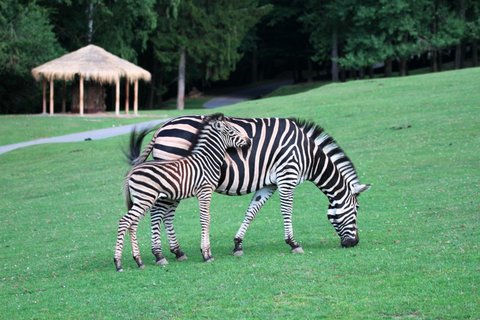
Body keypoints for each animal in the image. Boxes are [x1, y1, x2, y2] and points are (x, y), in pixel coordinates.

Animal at [114, 114, 249, 272]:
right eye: (233, 131)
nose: (249, 141)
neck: (207, 160)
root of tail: (133, 171)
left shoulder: (205, 192)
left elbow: (206, 218)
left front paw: (206, 252)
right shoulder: (205, 191)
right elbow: (205, 219)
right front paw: (206, 254)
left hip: (141, 200)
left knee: (133, 224)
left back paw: (139, 261)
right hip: (145, 198)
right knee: (125, 221)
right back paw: (118, 263)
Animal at [129, 115, 370, 260]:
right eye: (356, 210)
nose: (354, 243)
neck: (308, 155)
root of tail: (163, 127)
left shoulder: (269, 184)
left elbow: (252, 212)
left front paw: (237, 245)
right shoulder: (287, 176)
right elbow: (286, 211)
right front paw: (293, 243)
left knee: (165, 214)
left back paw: (177, 251)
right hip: (171, 178)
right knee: (159, 213)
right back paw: (160, 254)